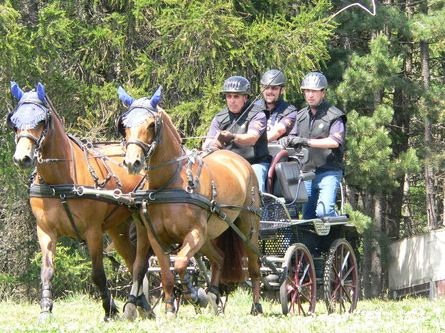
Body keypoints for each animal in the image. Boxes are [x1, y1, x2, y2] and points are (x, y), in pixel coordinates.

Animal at [7, 81, 151, 320]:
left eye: (41, 121)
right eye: (15, 122)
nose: (22, 158)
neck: (60, 181)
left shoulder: (93, 232)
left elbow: (97, 274)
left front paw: (109, 310)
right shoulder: (45, 230)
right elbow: (47, 271)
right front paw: (45, 309)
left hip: (141, 222)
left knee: (141, 263)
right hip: (118, 229)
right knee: (132, 263)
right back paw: (141, 306)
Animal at [117, 87, 264, 316]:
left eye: (151, 125)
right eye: (124, 126)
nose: (133, 162)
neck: (169, 184)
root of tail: (238, 160)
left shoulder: (195, 233)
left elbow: (179, 263)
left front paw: (192, 293)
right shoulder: (155, 237)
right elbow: (166, 273)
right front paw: (170, 307)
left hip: (248, 225)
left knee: (254, 267)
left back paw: (255, 306)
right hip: (210, 235)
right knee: (219, 258)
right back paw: (213, 297)